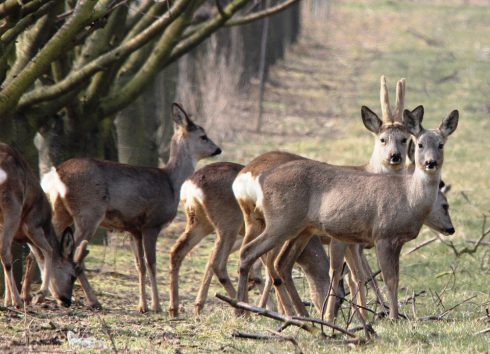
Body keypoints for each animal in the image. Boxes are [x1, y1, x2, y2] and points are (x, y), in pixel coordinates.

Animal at [0, 142, 87, 308]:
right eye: (72, 275)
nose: (67, 301)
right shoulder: (33, 224)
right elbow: (49, 250)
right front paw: (40, 294)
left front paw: (7, 300)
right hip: (13, 206)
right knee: (5, 251)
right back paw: (18, 301)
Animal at [40, 103, 220, 312]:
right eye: (203, 136)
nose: (217, 149)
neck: (172, 183)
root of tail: (55, 175)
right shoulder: (152, 223)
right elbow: (151, 263)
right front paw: (156, 305)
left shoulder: (134, 228)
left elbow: (139, 265)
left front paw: (142, 306)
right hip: (88, 212)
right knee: (74, 255)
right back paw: (91, 300)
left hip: (61, 210)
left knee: (45, 247)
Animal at [235, 106, 458, 320]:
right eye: (419, 144)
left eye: (441, 144)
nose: (430, 163)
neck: (409, 197)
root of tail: (260, 179)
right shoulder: (382, 235)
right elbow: (386, 279)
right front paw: (392, 317)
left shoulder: (389, 241)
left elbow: (381, 277)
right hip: (280, 222)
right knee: (249, 252)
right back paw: (243, 310)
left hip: (300, 229)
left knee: (280, 263)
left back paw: (299, 315)